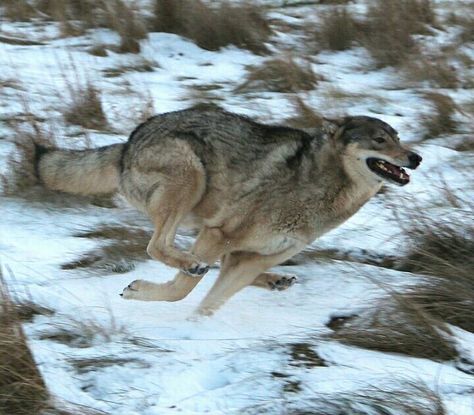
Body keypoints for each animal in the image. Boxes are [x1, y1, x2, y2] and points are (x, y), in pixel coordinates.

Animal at [36, 104, 422, 316]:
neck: (319, 187)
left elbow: (212, 298)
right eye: (380, 140)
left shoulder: (253, 253)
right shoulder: (218, 233)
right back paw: (192, 263)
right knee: (158, 247)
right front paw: (144, 292)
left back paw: (273, 280)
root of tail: (128, 143)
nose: (416, 157)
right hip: (190, 178)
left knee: (214, 262)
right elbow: (183, 291)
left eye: (398, 137)